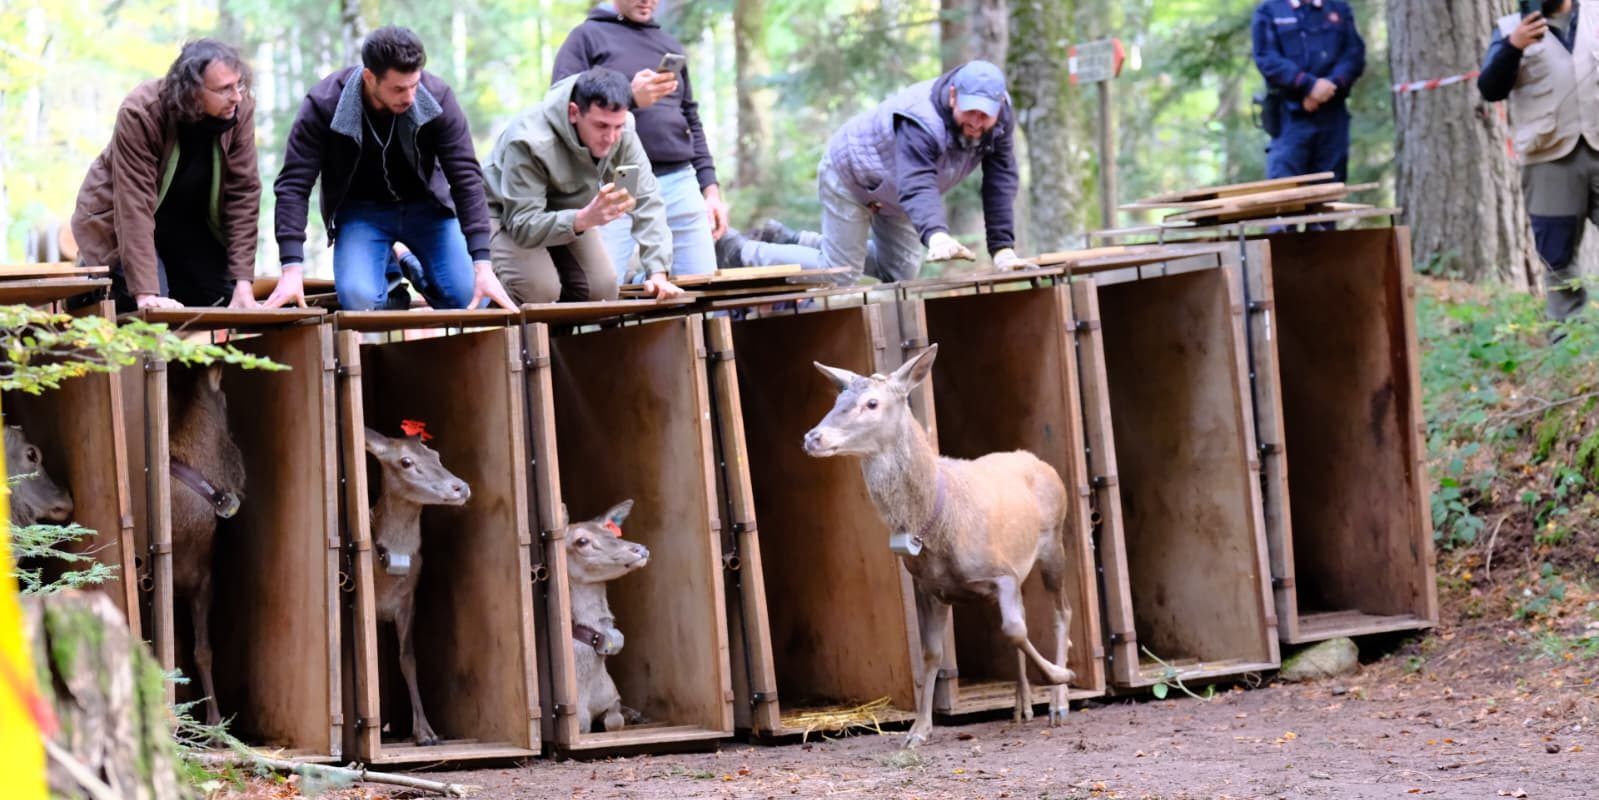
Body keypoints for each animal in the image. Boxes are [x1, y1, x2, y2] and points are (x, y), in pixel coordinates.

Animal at [363, 427, 471, 746]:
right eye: (406, 462)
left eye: (435, 454)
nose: (460, 487)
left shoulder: (408, 601)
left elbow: (408, 659)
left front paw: (426, 733)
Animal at [565, 499, 650, 733]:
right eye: (582, 541)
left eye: (612, 533)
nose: (640, 549)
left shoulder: (611, 697)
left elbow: (615, 720)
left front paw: (629, 715)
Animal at [803, 344, 1074, 748]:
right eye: (838, 399)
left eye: (871, 403)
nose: (813, 437)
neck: (939, 528)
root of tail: (1042, 464)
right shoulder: (929, 587)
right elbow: (932, 653)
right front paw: (918, 730)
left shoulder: (1001, 573)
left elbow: (1014, 630)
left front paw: (1061, 675)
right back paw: (1022, 706)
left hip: (1054, 542)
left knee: (1062, 611)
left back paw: (1058, 703)